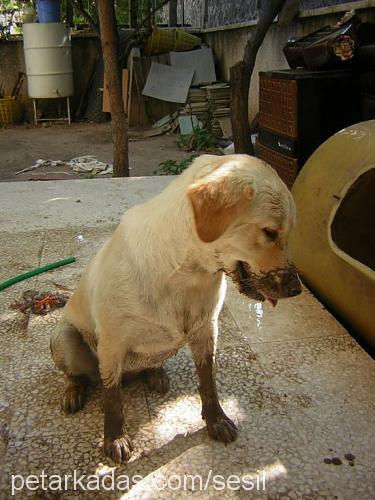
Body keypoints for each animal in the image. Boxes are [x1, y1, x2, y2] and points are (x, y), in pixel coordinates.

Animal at [50, 154, 302, 462]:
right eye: (269, 232)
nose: (297, 290)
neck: (185, 273)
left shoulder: (207, 330)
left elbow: (209, 382)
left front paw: (216, 420)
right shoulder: (111, 343)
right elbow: (112, 399)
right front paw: (115, 437)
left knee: (149, 363)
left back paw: (155, 374)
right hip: (63, 338)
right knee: (78, 375)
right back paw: (74, 391)